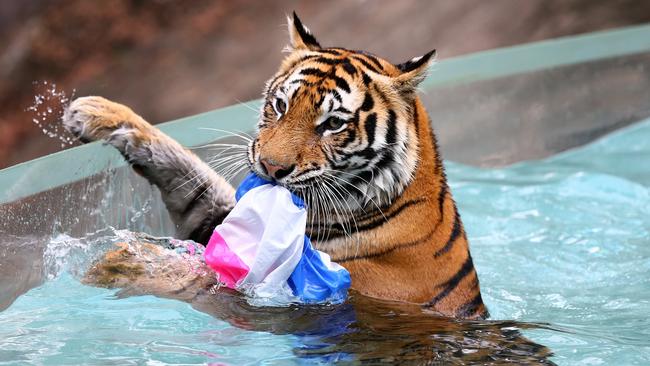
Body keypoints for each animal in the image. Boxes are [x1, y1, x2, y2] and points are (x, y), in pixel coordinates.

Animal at [63, 12, 484, 318]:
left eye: (333, 124)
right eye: (281, 105)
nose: (271, 167)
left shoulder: (287, 300)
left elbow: (201, 280)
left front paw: (120, 265)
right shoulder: (216, 216)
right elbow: (184, 165)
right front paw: (94, 112)